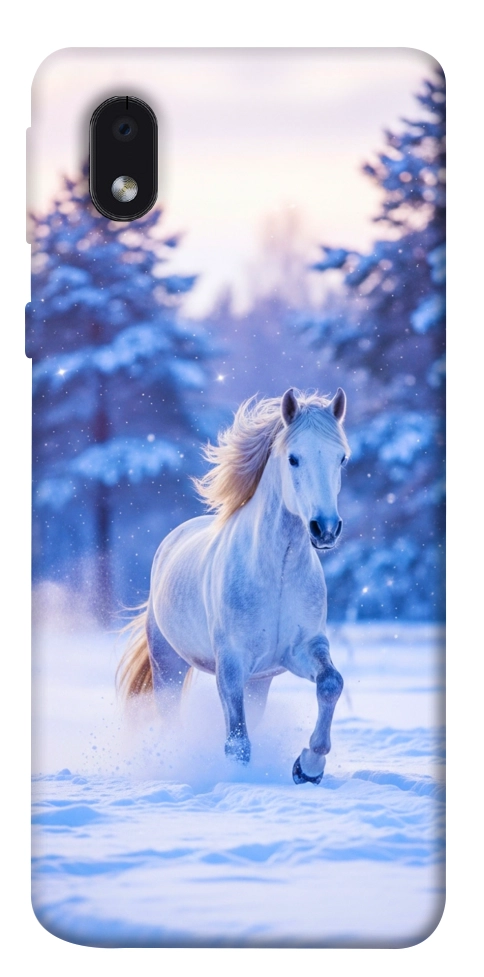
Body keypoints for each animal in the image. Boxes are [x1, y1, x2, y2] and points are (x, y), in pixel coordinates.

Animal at [118, 387, 350, 784]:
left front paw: (308, 767)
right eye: (294, 458)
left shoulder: (301, 649)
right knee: (170, 717)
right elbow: (237, 742)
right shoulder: (231, 663)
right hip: (168, 665)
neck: (276, 573)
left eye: (341, 459)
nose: (325, 529)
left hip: (259, 682)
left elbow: (331, 683)